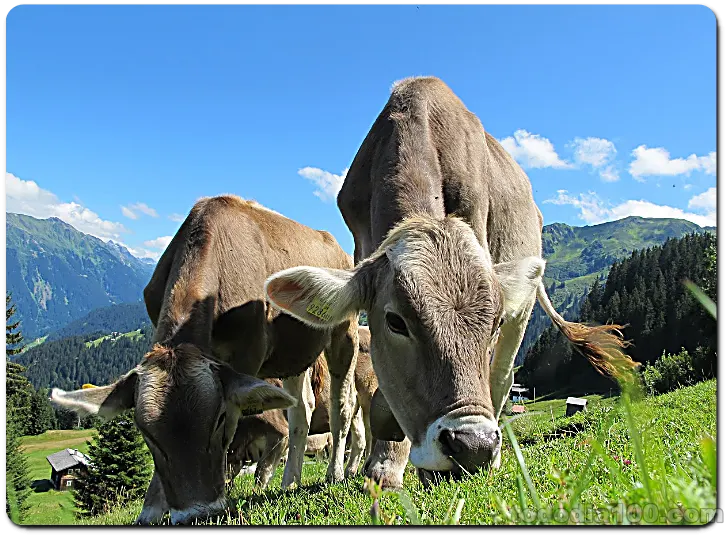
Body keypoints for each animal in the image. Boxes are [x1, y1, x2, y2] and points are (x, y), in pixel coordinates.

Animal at [264, 75, 636, 490]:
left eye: (493, 322)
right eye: (395, 321)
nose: (473, 445)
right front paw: (385, 466)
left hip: (522, 310)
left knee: (502, 377)